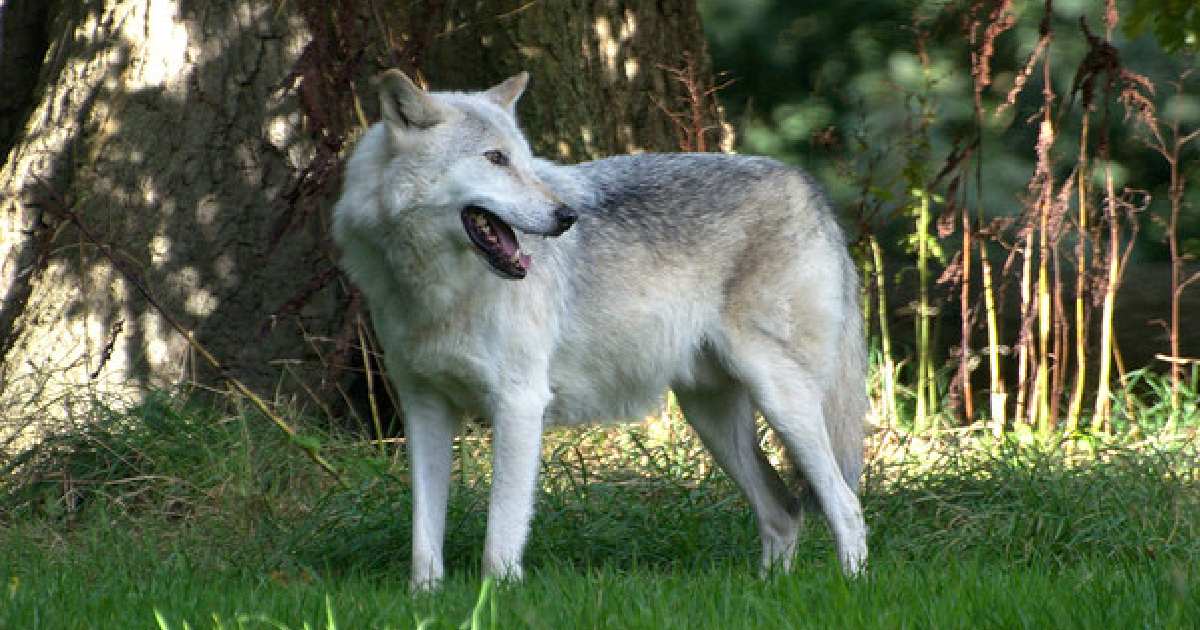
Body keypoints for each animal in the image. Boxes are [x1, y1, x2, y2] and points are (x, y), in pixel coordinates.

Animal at [333, 69, 868, 590]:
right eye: (495, 158)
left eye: (523, 159)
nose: (566, 216)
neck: (438, 289)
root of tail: (808, 186)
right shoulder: (424, 408)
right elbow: (424, 538)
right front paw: (425, 600)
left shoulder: (520, 404)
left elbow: (501, 535)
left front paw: (496, 598)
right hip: (711, 415)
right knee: (784, 509)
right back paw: (769, 589)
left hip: (781, 400)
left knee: (846, 504)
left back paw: (851, 588)